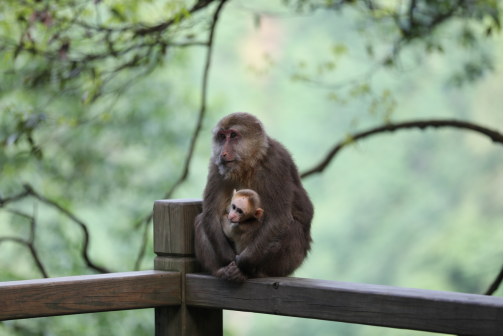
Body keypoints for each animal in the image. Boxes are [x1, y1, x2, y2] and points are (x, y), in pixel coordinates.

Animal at [195, 111, 314, 282]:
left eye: (233, 135)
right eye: (222, 137)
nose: (223, 153)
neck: (249, 164)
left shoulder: (276, 164)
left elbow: (278, 218)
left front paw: (243, 263)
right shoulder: (215, 166)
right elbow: (211, 214)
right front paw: (228, 259)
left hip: (290, 262)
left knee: (294, 228)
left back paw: (252, 273)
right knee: (201, 221)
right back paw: (220, 271)